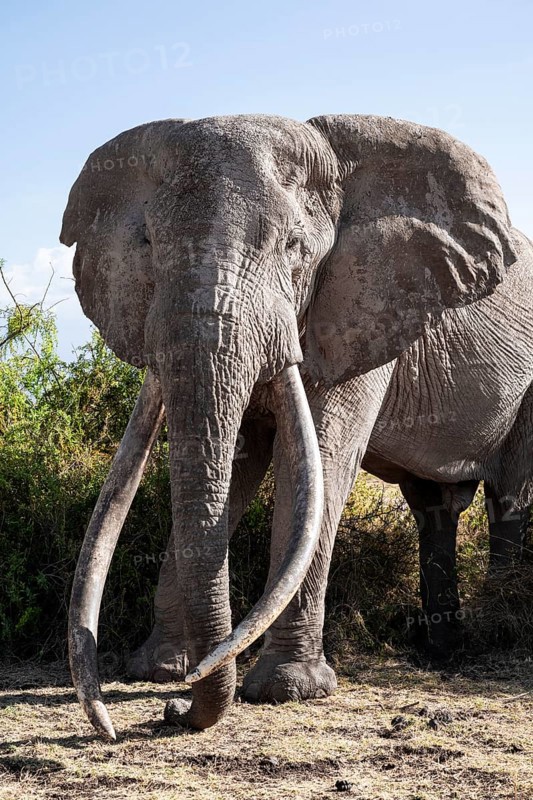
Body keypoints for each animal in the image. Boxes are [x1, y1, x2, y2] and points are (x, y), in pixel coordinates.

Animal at [60, 113, 526, 739]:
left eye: (294, 249)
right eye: (150, 246)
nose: (172, 710)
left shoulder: (365, 305)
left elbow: (320, 457)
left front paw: (287, 691)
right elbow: (237, 460)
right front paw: (160, 671)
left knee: (508, 495)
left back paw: (499, 635)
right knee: (436, 504)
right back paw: (443, 650)